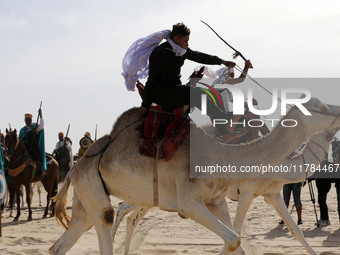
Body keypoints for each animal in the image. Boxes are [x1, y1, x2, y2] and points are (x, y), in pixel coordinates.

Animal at [111, 127, 338, 255]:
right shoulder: (247, 193)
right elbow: (236, 231)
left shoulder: (272, 194)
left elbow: (296, 231)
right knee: (122, 207)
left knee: (131, 216)